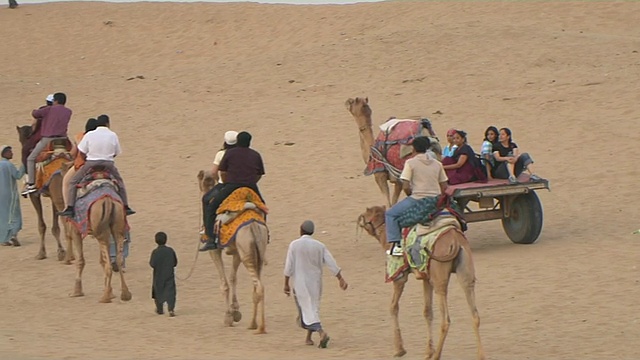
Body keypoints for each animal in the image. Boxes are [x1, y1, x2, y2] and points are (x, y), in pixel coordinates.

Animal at [16, 125, 69, 260]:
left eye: (20, 138)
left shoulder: (34, 195)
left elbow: (41, 225)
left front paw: (41, 253)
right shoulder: (52, 197)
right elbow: (55, 227)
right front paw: (61, 252)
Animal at [198, 170, 268, 334]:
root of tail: (254, 226)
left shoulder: (215, 250)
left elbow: (224, 283)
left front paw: (228, 317)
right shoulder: (237, 251)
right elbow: (233, 278)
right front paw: (236, 311)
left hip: (247, 254)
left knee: (259, 287)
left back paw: (259, 327)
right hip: (256, 253)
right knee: (257, 287)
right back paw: (254, 324)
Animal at [356, 205, 484, 360]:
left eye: (365, 215)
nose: (359, 221)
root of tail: (456, 241)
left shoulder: (399, 275)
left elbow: (393, 307)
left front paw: (399, 350)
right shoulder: (426, 277)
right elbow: (427, 312)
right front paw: (427, 352)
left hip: (439, 277)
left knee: (445, 319)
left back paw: (437, 356)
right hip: (465, 273)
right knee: (475, 314)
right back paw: (480, 356)